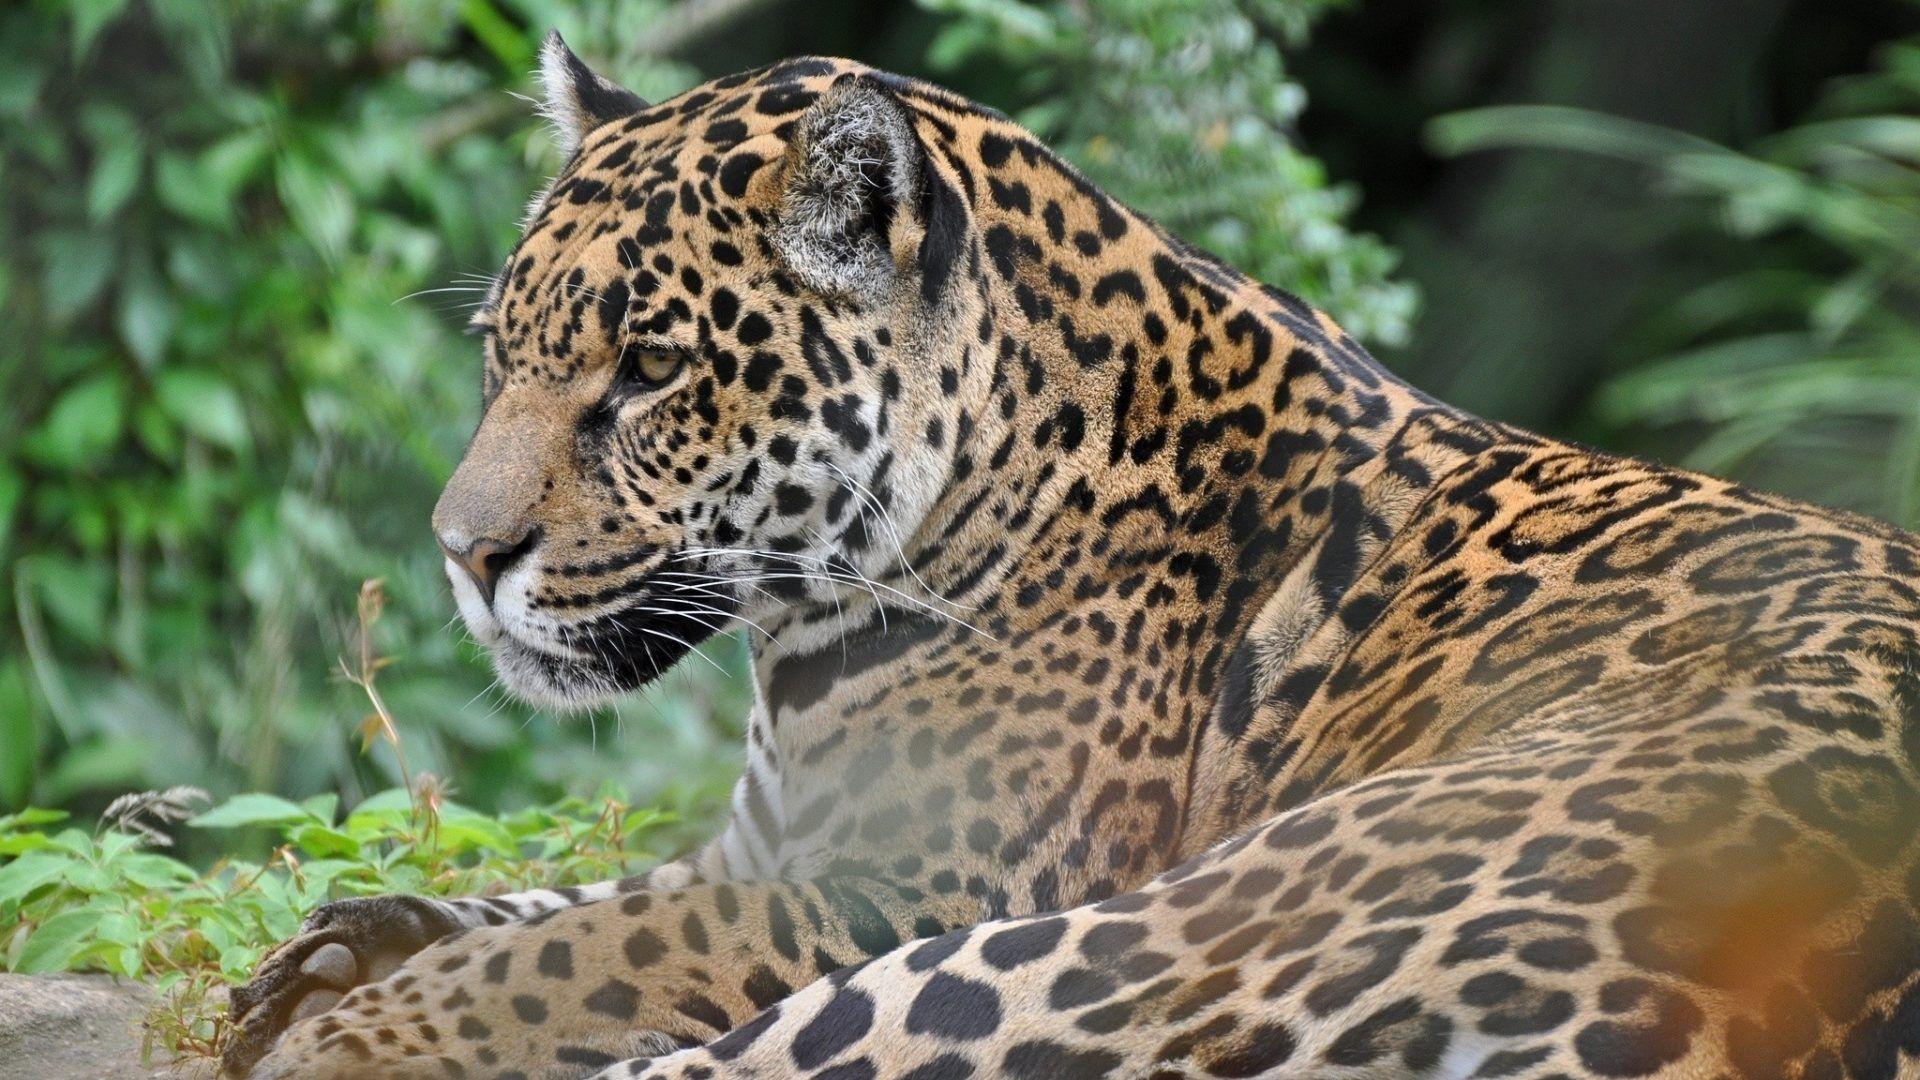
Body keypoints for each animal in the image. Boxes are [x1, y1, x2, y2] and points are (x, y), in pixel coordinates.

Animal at [220, 33, 1920, 1080]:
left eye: (646, 373)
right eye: (499, 357)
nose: (462, 553)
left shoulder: (882, 888)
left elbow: (579, 951)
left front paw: (351, 1027)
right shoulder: (766, 846)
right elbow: (561, 897)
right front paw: (346, 947)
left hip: (1186, 920)